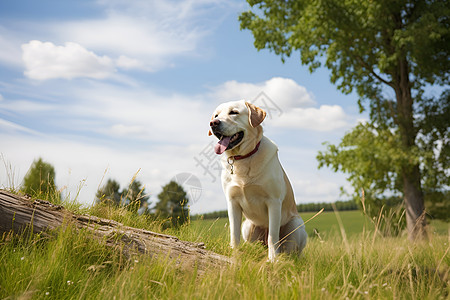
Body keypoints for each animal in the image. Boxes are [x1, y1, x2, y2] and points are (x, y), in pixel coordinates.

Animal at [209, 100, 308, 260]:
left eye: (234, 112)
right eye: (216, 115)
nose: (213, 123)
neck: (243, 158)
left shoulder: (274, 202)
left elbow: (272, 236)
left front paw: (273, 259)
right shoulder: (232, 202)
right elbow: (234, 234)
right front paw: (234, 253)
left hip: (296, 224)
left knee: (290, 251)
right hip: (247, 226)